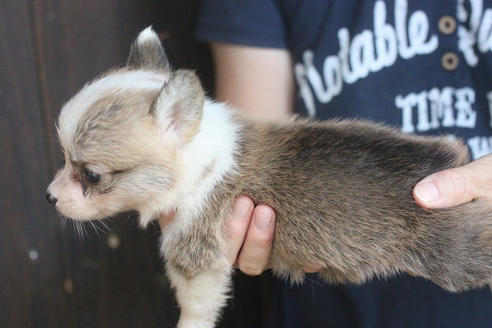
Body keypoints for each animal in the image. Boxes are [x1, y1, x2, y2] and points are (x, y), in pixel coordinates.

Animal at [47, 26, 492, 326]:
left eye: (91, 175)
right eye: (64, 159)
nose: (50, 196)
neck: (200, 155)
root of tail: (442, 161)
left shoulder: (194, 258)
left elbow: (194, 306)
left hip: (453, 252)